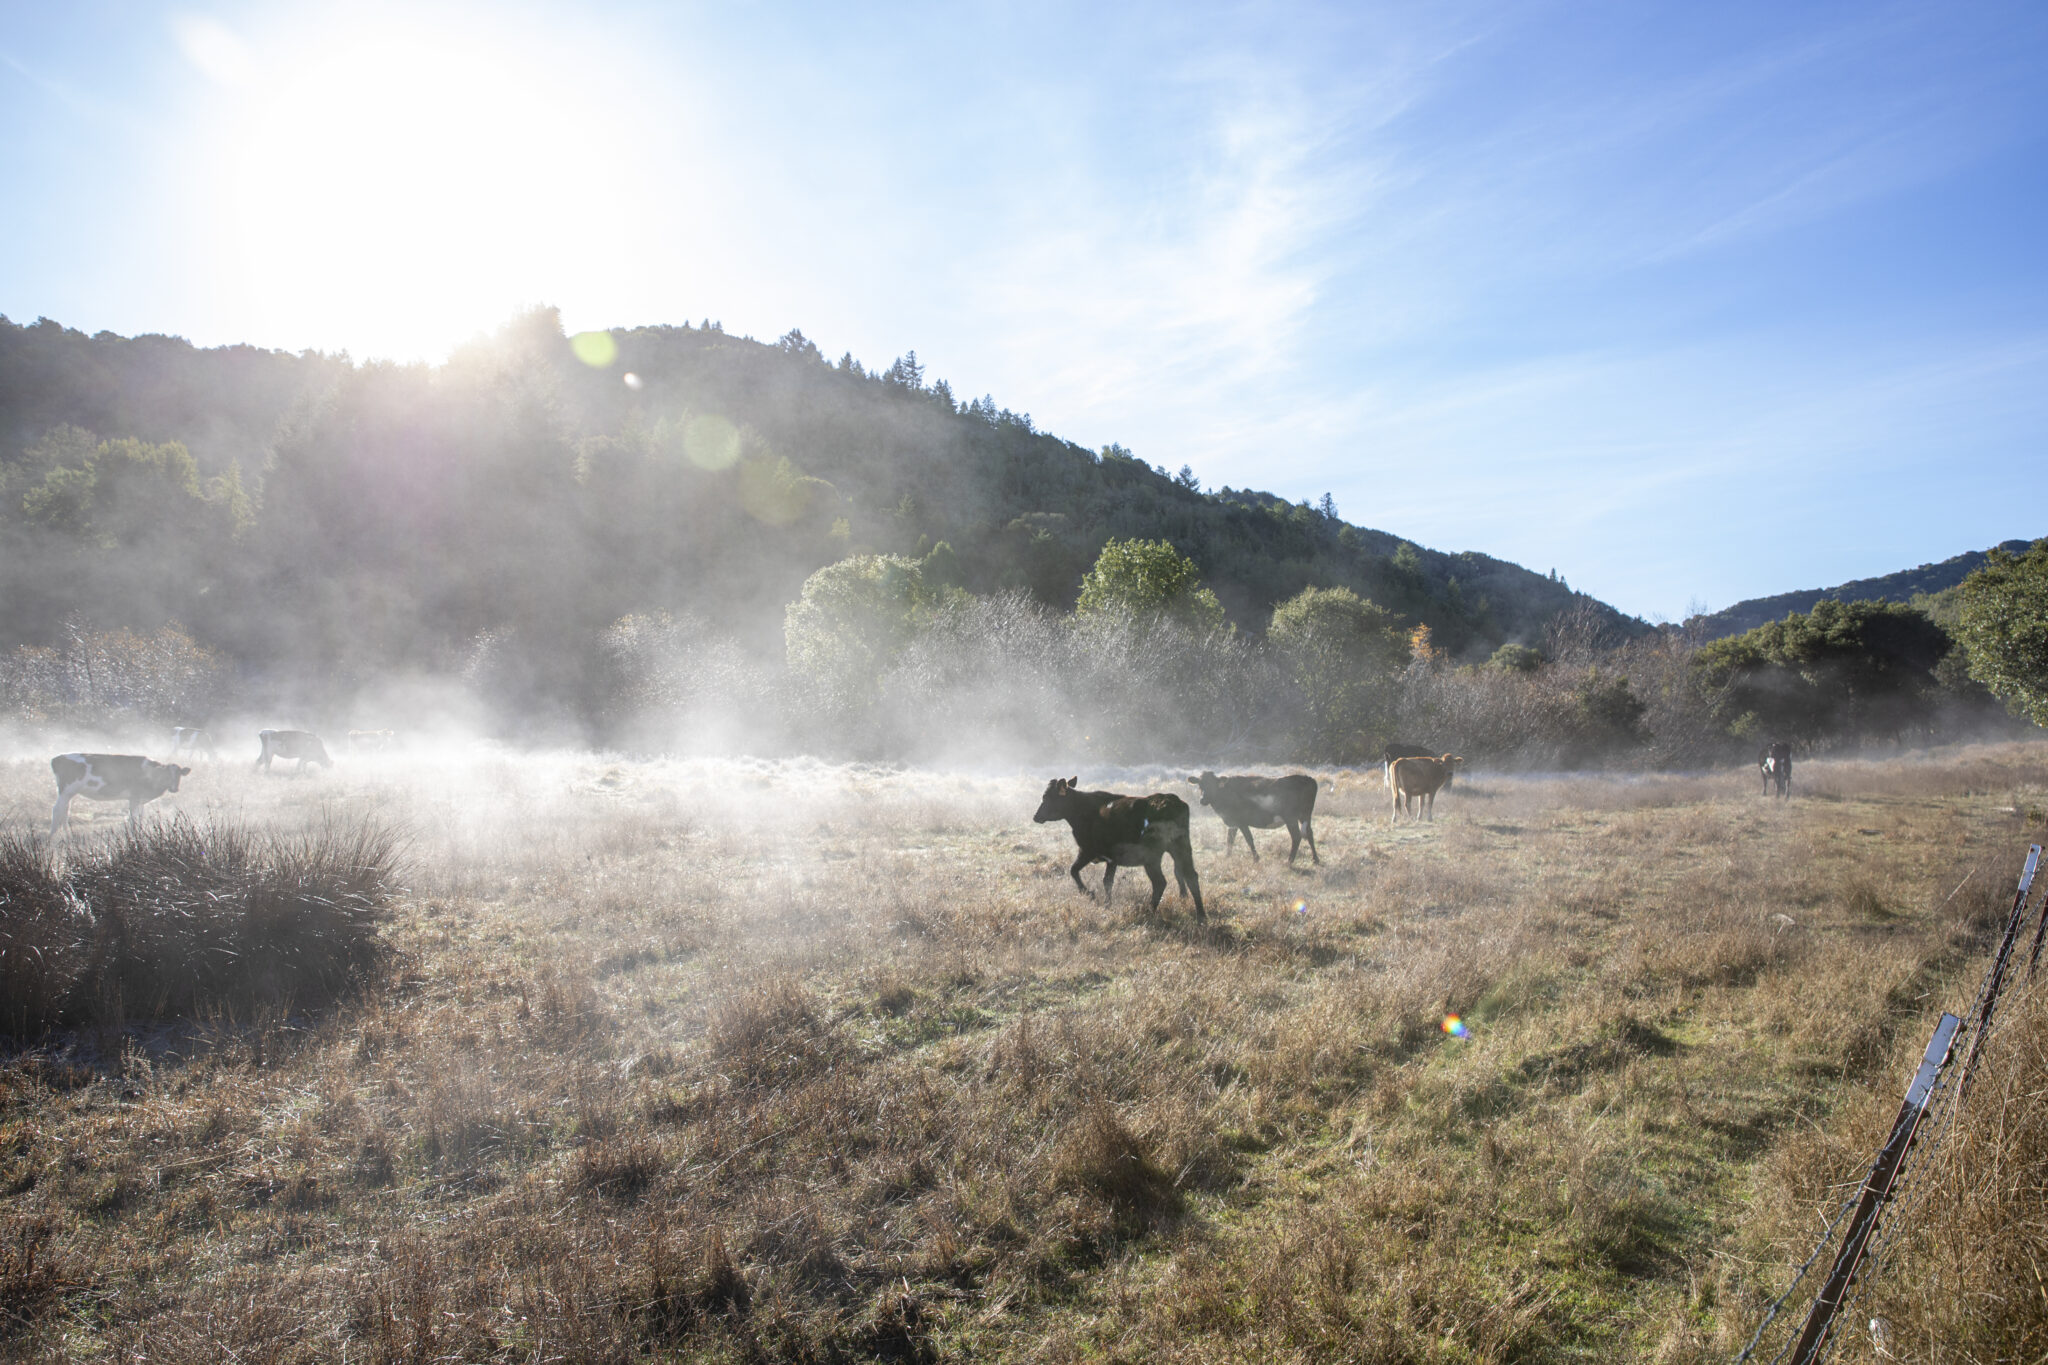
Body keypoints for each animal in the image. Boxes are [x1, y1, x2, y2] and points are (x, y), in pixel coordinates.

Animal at [51, 753, 192, 839]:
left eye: (179, 775)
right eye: (167, 774)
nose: (174, 789)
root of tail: (57, 758)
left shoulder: (141, 800)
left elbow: (140, 817)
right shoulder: (134, 797)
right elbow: (133, 818)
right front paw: (135, 835)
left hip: (68, 792)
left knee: (65, 810)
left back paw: (68, 834)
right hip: (66, 789)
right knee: (57, 809)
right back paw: (53, 835)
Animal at [1040, 773, 1196, 925]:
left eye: (1047, 797)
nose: (1037, 816)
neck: (1084, 811)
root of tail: (1173, 801)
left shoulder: (1087, 851)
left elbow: (1074, 871)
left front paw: (1090, 894)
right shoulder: (1111, 860)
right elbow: (1107, 881)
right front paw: (1107, 904)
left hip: (1153, 858)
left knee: (1161, 882)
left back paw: (1150, 910)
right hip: (1180, 849)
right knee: (1183, 874)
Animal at [1187, 769, 1327, 863]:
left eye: (1213, 785)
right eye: (1200, 785)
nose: (1202, 800)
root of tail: (1307, 778)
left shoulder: (1241, 821)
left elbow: (1249, 839)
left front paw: (1256, 859)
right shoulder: (1232, 822)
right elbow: (1230, 839)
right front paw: (1227, 856)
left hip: (1291, 817)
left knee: (1297, 836)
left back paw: (1289, 861)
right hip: (1305, 815)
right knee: (1309, 833)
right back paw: (1315, 859)